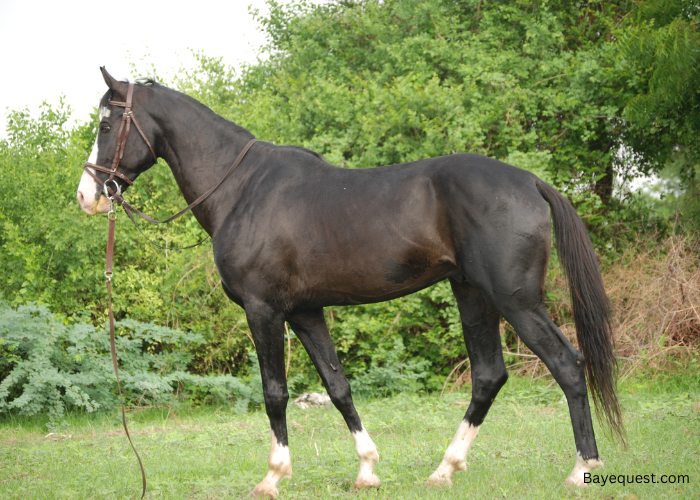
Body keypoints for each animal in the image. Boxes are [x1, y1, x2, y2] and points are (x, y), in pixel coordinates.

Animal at [78, 68, 624, 498]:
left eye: (106, 122)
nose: (89, 195)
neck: (242, 189)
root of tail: (529, 181)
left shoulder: (263, 310)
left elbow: (274, 392)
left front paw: (272, 477)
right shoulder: (305, 312)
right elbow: (338, 387)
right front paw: (367, 470)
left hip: (515, 300)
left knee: (567, 366)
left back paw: (583, 469)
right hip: (473, 295)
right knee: (489, 375)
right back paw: (444, 470)